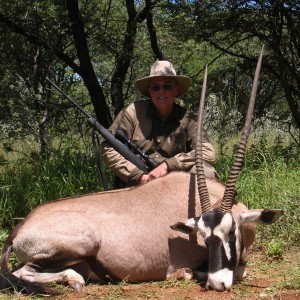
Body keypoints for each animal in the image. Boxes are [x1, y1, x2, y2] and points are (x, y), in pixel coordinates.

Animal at [0, 48, 282, 294]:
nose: (217, 284)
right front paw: (190, 274)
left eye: (231, 231)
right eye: (203, 236)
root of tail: (20, 227)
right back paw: (75, 279)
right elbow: (233, 271)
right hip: (80, 242)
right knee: (23, 272)